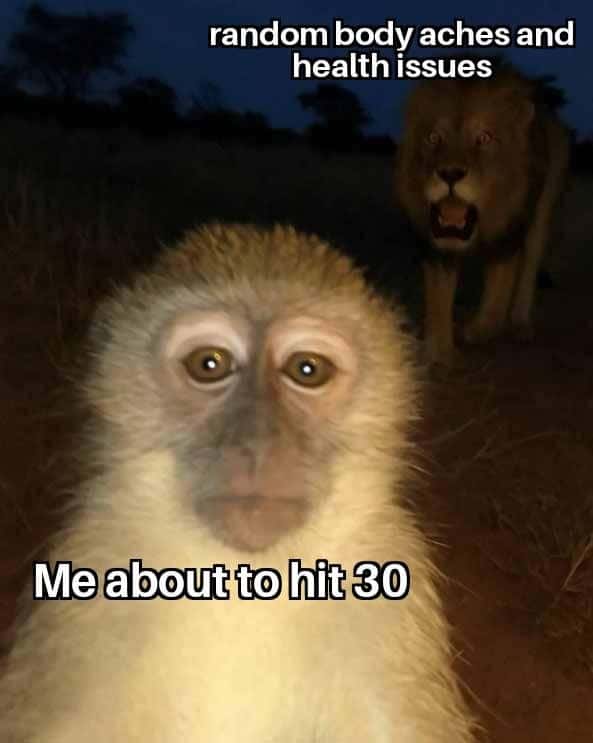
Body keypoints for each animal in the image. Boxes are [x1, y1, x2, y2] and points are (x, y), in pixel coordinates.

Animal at [0, 223, 477, 742]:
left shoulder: (392, 589)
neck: (244, 580)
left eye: (307, 369)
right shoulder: (88, 581)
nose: (258, 442)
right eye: (209, 364)